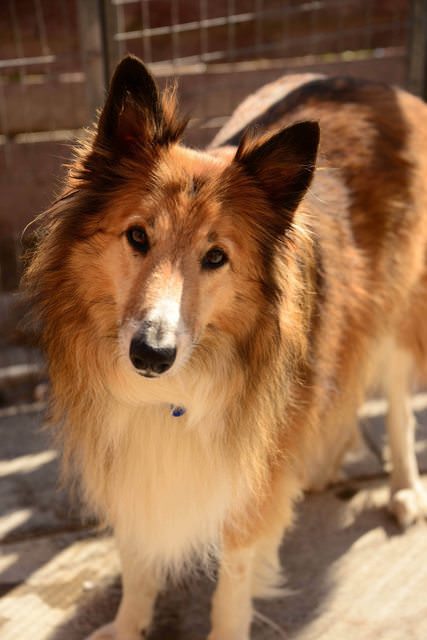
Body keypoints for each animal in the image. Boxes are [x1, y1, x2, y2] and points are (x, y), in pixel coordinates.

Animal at [24, 56, 427, 640]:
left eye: (216, 257)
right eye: (137, 236)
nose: (151, 355)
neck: (176, 389)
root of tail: (382, 86)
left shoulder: (253, 478)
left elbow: (232, 581)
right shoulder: (129, 459)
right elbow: (136, 559)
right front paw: (127, 626)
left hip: (398, 305)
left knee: (397, 400)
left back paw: (403, 488)